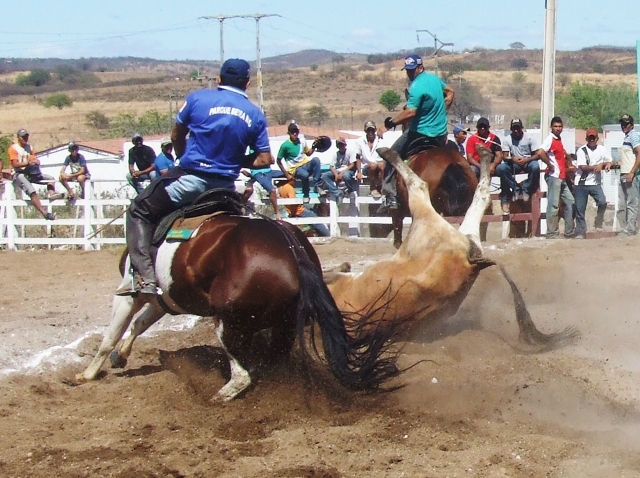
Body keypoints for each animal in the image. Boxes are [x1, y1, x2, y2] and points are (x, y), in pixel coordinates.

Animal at [74, 213, 396, 400]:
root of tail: (291, 250)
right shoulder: (164, 299)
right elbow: (139, 324)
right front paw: (120, 356)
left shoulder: (131, 293)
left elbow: (111, 335)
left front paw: (87, 374)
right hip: (282, 326)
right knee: (269, 364)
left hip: (228, 322)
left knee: (242, 376)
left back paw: (216, 397)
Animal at [328, 146, 576, 348]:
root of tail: (474, 262)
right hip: (452, 231)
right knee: (479, 199)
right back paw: (485, 154)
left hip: (424, 220)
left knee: (420, 185)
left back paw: (388, 152)